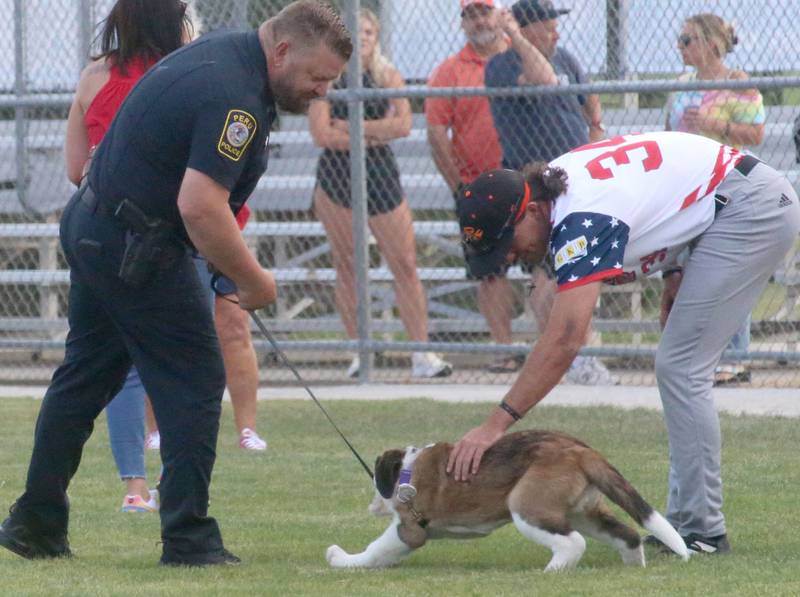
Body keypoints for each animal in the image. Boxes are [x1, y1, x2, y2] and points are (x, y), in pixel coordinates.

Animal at [324, 428, 688, 568]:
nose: (373, 506)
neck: (406, 472)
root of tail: (581, 451)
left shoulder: (409, 529)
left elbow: (376, 550)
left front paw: (343, 559)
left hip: (527, 506)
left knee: (572, 542)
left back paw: (552, 571)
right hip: (584, 511)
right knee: (627, 535)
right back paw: (634, 567)